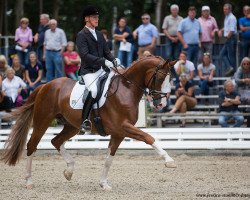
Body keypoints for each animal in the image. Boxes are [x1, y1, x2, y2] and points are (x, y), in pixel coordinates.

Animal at [1, 55, 176, 190]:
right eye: (161, 78)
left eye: (171, 79)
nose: (161, 104)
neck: (126, 89)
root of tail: (45, 85)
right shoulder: (123, 127)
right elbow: (149, 137)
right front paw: (169, 161)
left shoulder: (118, 133)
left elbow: (108, 159)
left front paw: (104, 184)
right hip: (42, 120)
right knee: (32, 145)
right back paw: (29, 181)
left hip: (71, 126)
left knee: (56, 141)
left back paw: (69, 171)